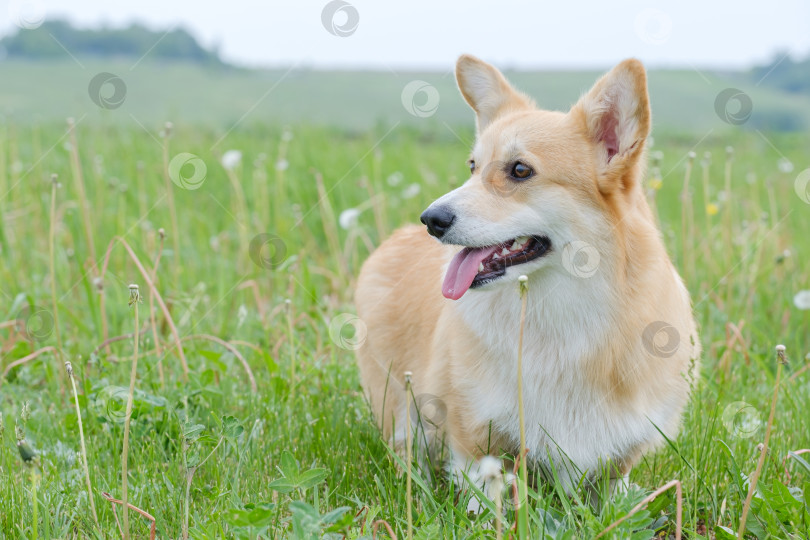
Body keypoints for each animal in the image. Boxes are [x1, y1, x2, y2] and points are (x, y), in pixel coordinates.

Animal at [354, 53, 700, 502]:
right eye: (472, 166)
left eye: (520, 170)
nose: (431, 220)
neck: (558, 311)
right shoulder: (474, 436)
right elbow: (485, 488)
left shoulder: (621, 451)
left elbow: (611, 493)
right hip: (397, 407)